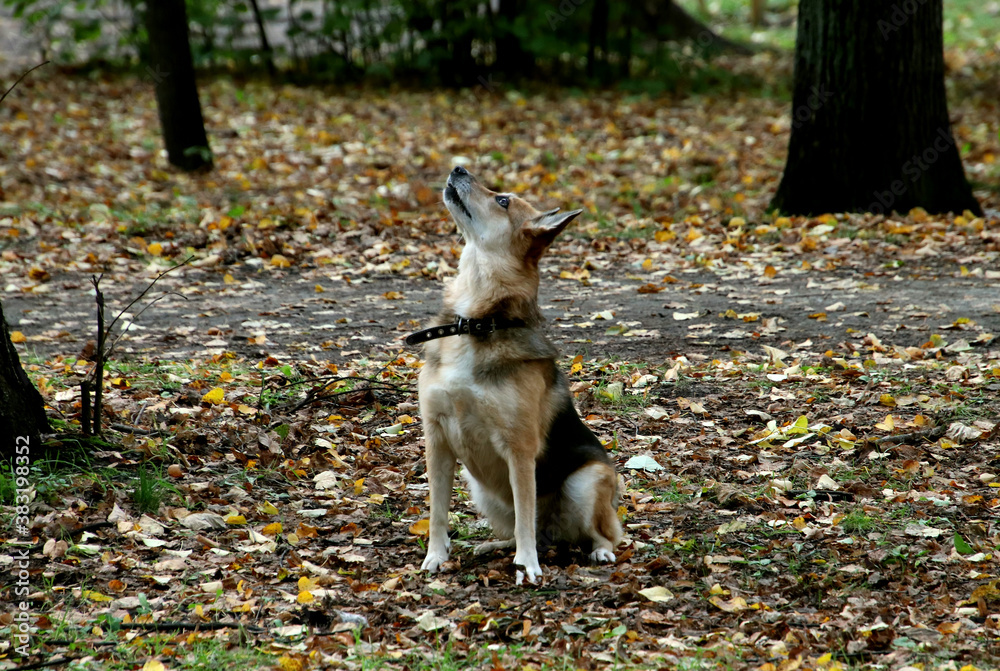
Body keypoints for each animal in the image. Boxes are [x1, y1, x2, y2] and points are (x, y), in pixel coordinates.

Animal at [408, 165, 622, 583]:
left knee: (597, 533)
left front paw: (527, 566)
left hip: (586, 482)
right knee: (525, 529)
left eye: (503, 200)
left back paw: (598, 551)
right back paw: (494, 546)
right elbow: (438, 511)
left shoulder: (519, 450)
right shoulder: (437, 440)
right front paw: (436, 556)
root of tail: (557, 537)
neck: (476, 321)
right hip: (480, 489)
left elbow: (525, 515)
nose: (458, 167)